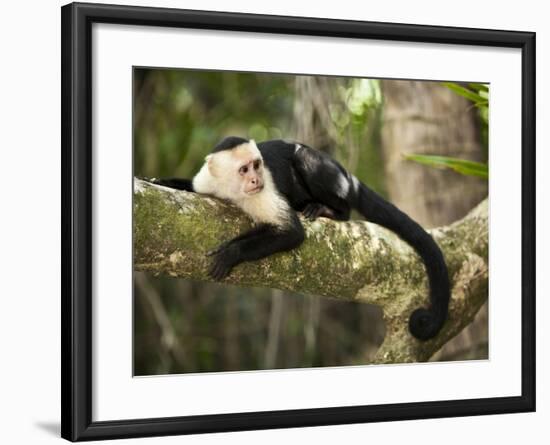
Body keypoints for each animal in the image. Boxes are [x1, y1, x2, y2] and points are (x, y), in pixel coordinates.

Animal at [150, 136, 448, 340]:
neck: (233, 191)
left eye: (257, 165)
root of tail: (346, 174)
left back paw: (331, 210)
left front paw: (231, 253)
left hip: (334, 176)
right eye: (244, 170)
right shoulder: (208, 182)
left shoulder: (263, 194)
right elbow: (190, 187)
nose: (256, 180)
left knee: (305, 158)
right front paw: (161, 181)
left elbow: (291, 233)